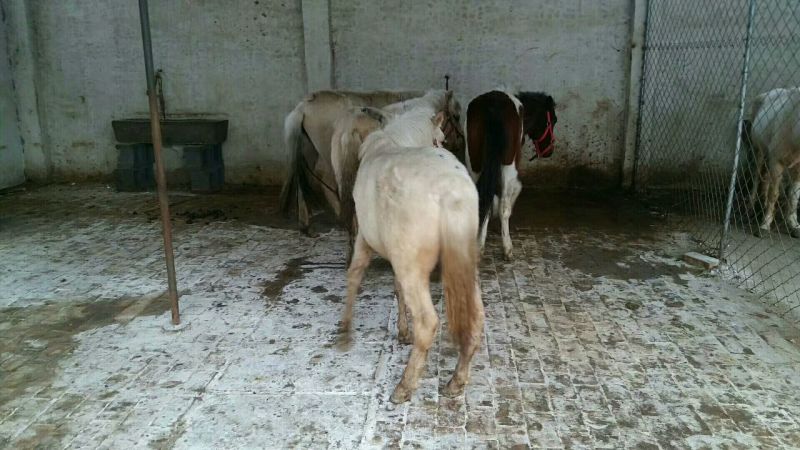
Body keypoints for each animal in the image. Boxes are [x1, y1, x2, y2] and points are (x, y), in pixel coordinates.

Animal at [341, 102, 484, 403]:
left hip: (413, 269)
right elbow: (396, 289)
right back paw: (456, 381)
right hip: (464, 266)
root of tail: (450, 189)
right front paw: (403, 331)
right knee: (476, 318)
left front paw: (345, 331)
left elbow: (355, 275)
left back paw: (405, 386)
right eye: (441, 139)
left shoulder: (364, 239)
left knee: (428, 323)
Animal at [465, 89, 557, 259]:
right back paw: (506, 247)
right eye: (553, 120)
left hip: (474, 163)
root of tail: (493, 105)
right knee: (503, 208)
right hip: (508, 166)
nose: (549, 151)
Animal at [744, 87, 800, 238]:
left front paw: (794, 225)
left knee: (766, 177)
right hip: (758, 150)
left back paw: (762, 203)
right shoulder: (777, 162)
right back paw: (750, 206)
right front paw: (764, 225)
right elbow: (774, 194)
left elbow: (794, 195)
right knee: (757, 175)